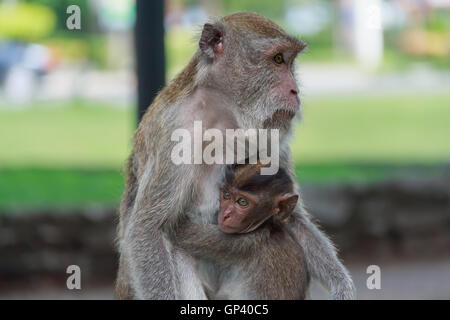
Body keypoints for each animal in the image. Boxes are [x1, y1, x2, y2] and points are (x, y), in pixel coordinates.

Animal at [171, 162, 310, 300]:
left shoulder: (238, 242)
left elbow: (179, 231)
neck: (265, 226)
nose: (225, 215)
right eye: (227, 195)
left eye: (242, 202)